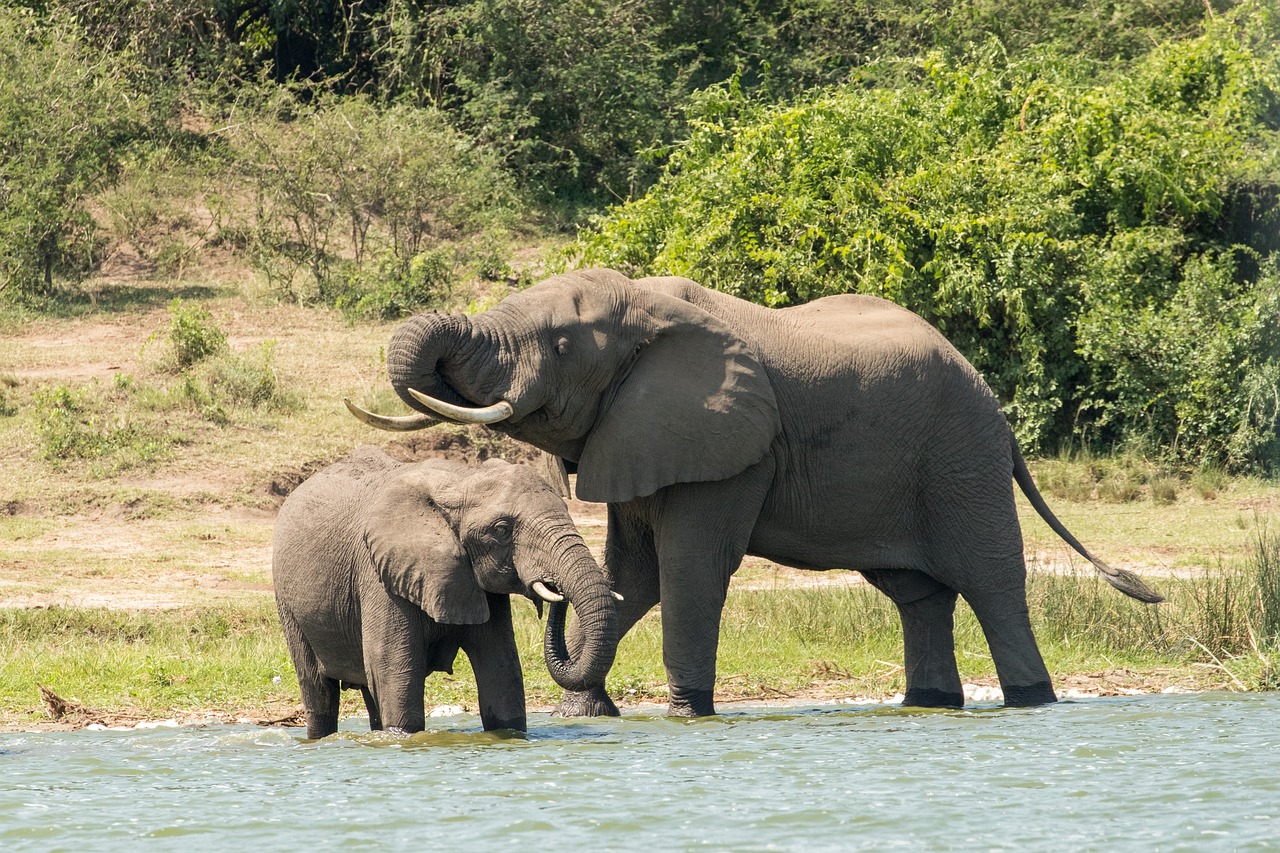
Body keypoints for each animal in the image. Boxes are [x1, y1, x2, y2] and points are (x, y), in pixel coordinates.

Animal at [270, 445, 614, 737]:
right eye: (502, 530)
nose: (554, 587)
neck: (461, 481)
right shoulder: (379, 576)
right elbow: (393, 673)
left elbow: (502, 673)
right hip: (287, 599)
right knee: (319, 692)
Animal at [348, 267, 1162, 717]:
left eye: (562, 345)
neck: (645, 305)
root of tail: (1000, 411)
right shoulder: (638, 430)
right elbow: (632, 578)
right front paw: (590, 710)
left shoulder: (730, 451)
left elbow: (687, 573)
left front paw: (686, 713)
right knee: (918, 594)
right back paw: (929, 705)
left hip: (962, 460)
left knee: (992, 582)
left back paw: (1032, 701)